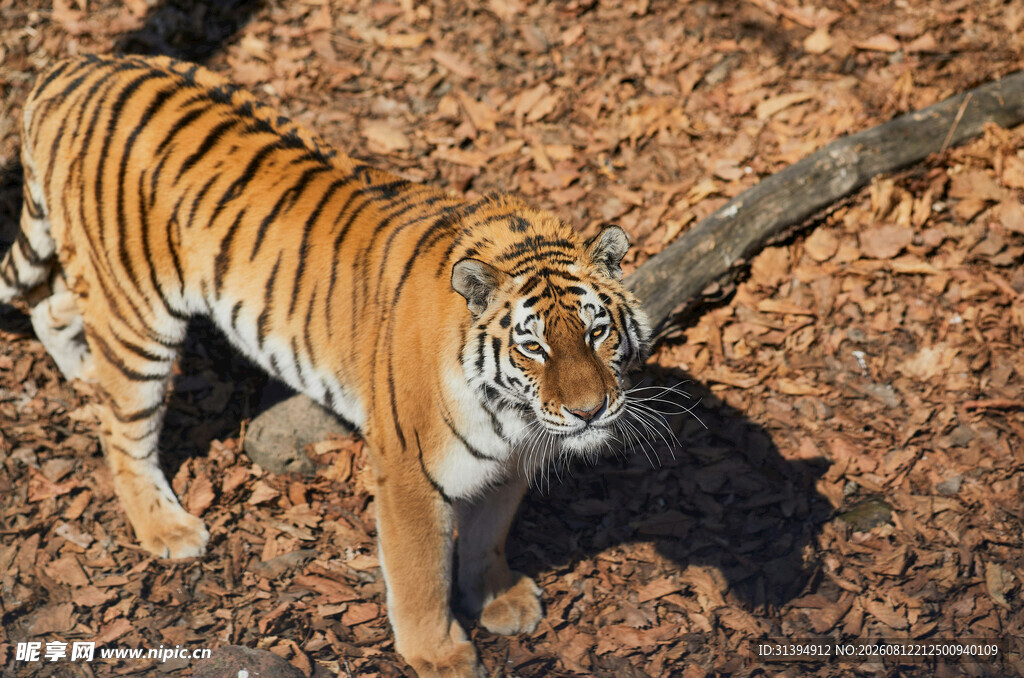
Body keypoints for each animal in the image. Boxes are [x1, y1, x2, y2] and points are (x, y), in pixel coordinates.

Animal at [0, 54, 651, 677]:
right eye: (532, 347)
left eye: (597, 332)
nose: (588, 411)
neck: (512, 414)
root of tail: (74, 67)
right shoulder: (409, 472)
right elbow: (421, 573)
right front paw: (438, 654)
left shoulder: (511, 462)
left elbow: (488, 535)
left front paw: (498, 599)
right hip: (137, 313)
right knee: (121, 429)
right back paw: (167, 528)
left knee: (51, 305)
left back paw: (83, 371)